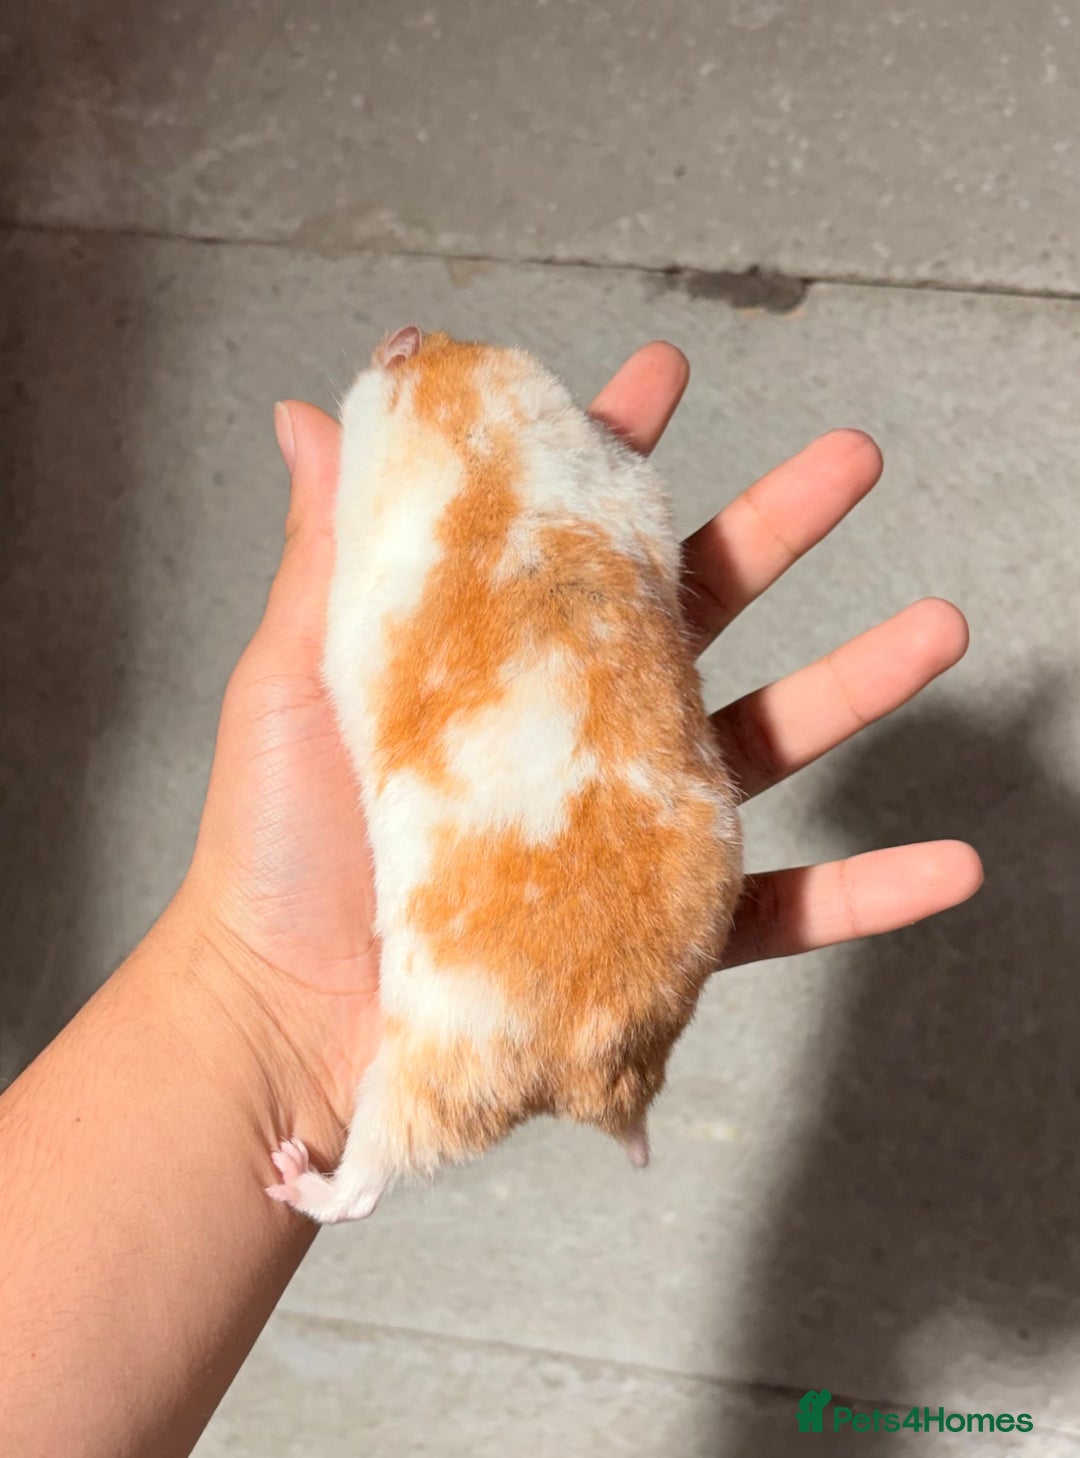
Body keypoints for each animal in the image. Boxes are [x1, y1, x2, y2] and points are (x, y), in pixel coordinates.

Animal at [267, 326, 742, 1223]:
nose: (403, 335)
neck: (485, 433)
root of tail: (598, 1081)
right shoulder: (627, 483)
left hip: (421, 1072)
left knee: (368, 1184)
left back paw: (286, 1170)